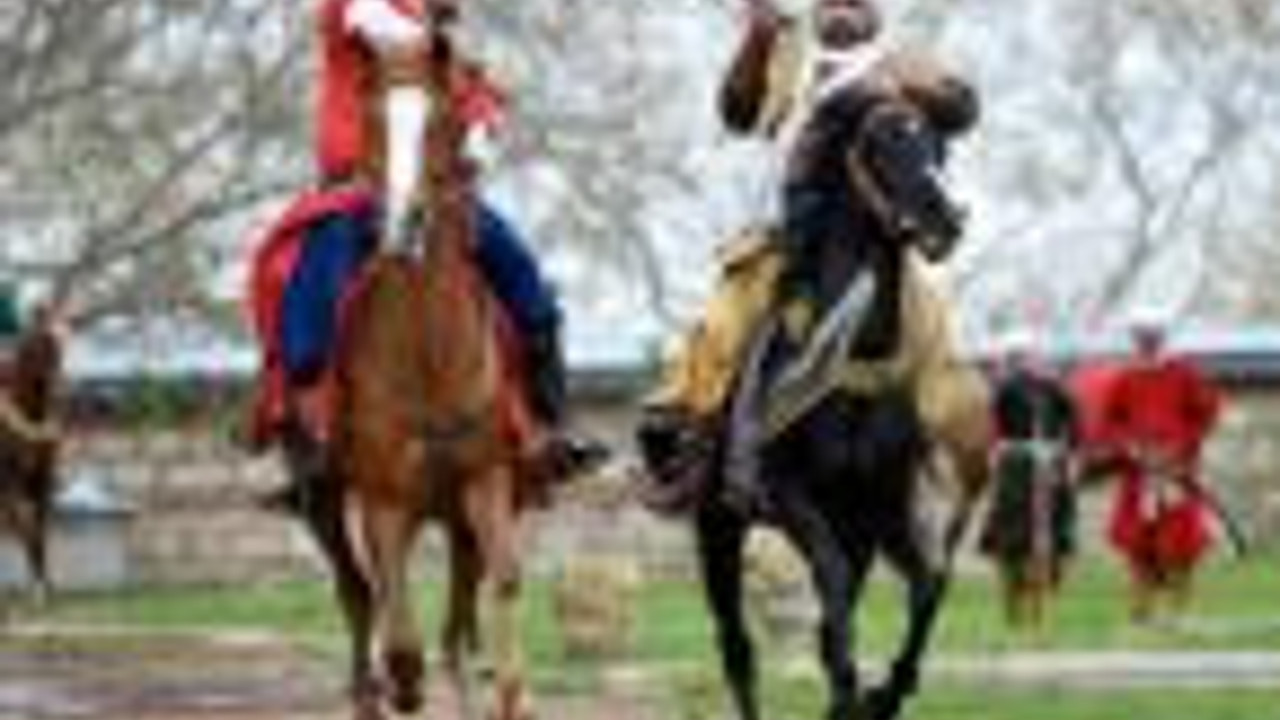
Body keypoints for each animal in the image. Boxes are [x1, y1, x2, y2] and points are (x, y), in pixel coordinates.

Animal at [283, 22, 537, 720]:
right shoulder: (385, 505)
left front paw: (504, 689)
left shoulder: (486, 481)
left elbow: (502, 592)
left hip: (456, 514)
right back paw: (369, 690)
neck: (430, 355)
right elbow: (401, 647)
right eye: (373, 119)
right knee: (358, 595)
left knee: (454, 622)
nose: (403, 221)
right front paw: (401, 685)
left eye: (444, 119)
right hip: (326, 504)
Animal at [638, 89, 989, 720]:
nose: (945, 220)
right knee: (737, 647)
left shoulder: (877, 508)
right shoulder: (786, 496)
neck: (852, 366)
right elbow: (833, 584)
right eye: (879, 144)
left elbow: (926, 586)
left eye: (935, 146)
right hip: (716, 524)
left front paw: (883, 692)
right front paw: (853, 690)